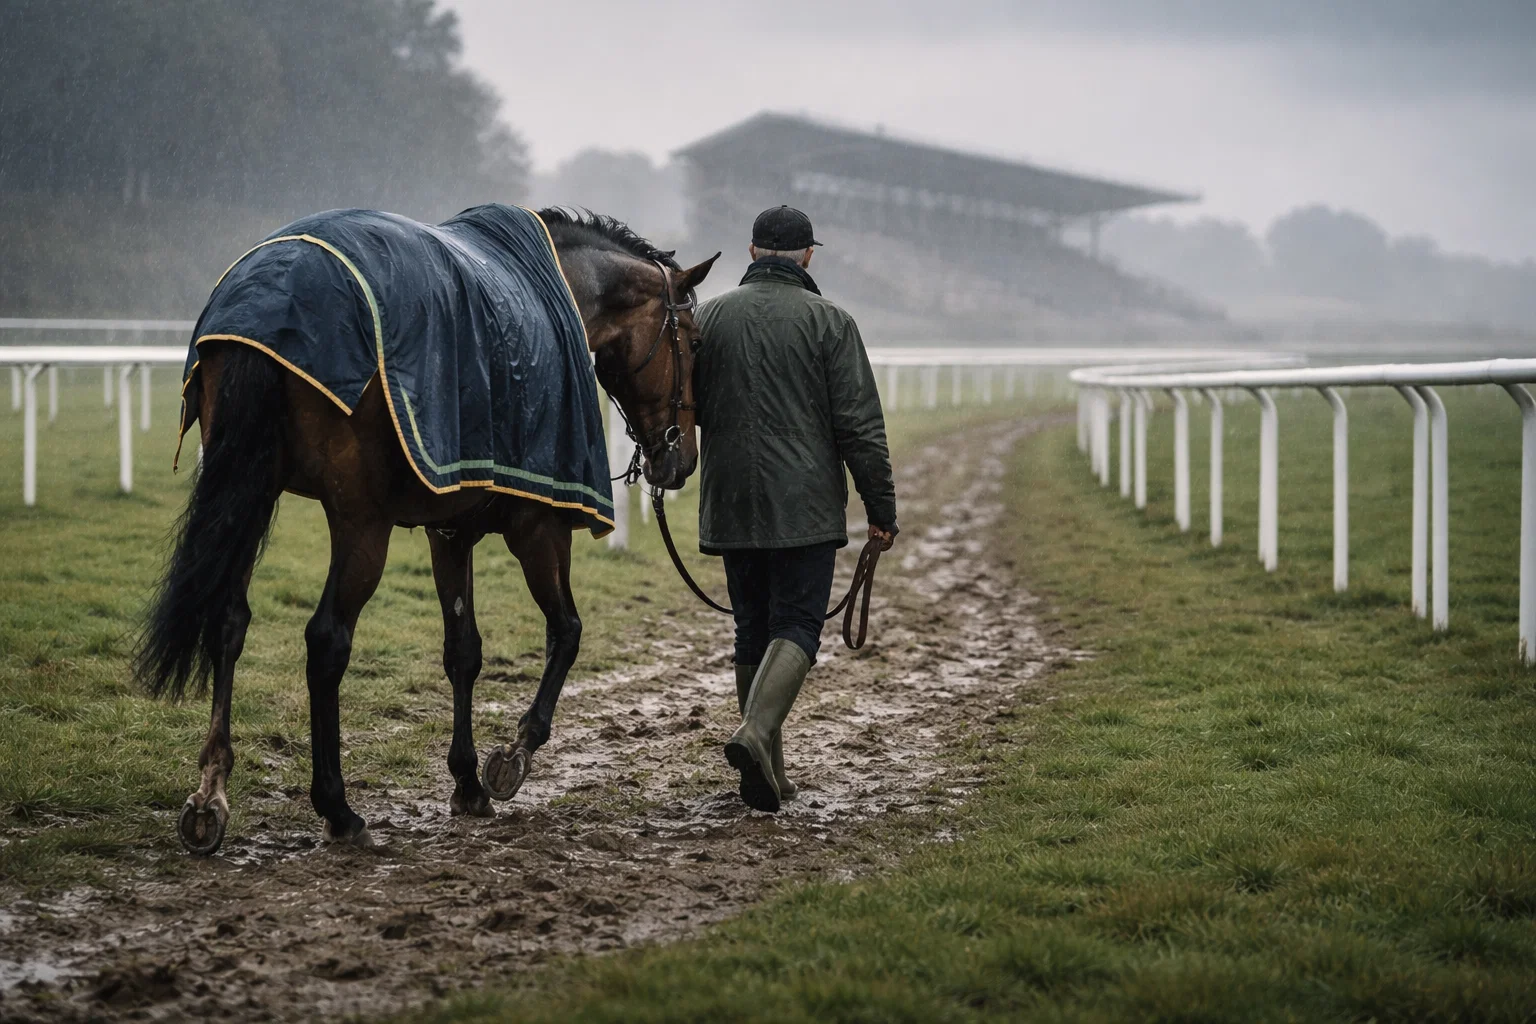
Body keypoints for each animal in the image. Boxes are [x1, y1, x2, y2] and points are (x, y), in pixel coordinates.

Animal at [134, 209, 718, 854]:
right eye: (694, 342)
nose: (681, 461)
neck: (559, 289)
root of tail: (269, 302)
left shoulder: (450, 531)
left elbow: (463, 650)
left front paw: (466, 781)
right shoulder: (538, 524)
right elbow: (567, 631)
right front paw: (511, 757)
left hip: (250, 488)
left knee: (228, 622)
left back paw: (211, 793)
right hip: (360, 518)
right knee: (327, 639)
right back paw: (337, 808)